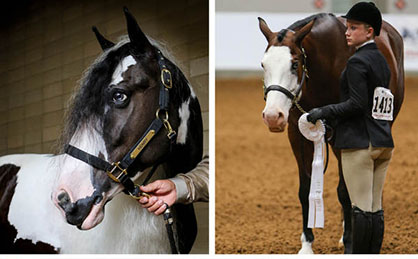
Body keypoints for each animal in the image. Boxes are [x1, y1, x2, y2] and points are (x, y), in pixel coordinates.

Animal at [260, 13, 404, 255]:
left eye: (295, 64)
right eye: (263, 64)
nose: (272, 116)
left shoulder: (342, 137)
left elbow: (344, 192)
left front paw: (350, 244)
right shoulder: (297, 135)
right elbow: (305, 190)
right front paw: (307, 245)